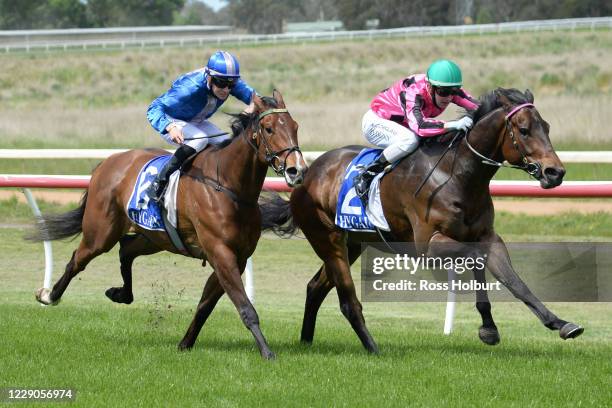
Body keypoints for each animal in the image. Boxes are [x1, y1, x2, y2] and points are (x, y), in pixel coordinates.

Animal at [29, 91, 306, 358]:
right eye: (269, 128)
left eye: (295, 126)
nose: (296, 170)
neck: (229, 185)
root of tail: (108, 162)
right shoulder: (221, 253)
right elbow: (245, 307)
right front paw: (267, 352)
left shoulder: (237, 257)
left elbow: (206, 305)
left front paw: (185, 343)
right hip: (101, 232)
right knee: (77, 259)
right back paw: (49, 295)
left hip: (154, 237)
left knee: (125, 250)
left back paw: (121, 294)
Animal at [260, 87, 584, 352]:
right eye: (525, 130)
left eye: (547, 127)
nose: (555, 173)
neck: (457, 175)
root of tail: (306, 175)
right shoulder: (429, 245)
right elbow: (475, 258)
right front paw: (488, 327)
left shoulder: (488, 236)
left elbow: (514, 281)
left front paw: (559, 323)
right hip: (327, 240)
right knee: (341, 296)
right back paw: (368, 347)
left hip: (351, 244)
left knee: (315, 287)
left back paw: (306, 341)